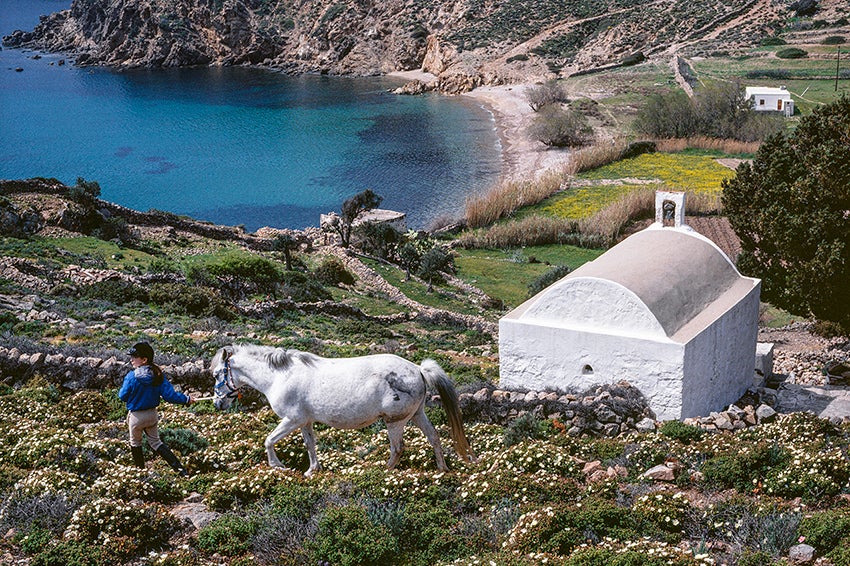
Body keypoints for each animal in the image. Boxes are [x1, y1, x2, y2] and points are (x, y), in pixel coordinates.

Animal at [210, 344, 476, 478]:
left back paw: (384, 471)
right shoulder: (305, 421)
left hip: (395, 422)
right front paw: (312, 470)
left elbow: (268, 440)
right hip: (417, 415)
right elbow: (310, 445)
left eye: (215, 374)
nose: (217, 403)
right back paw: (442, 469)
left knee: (398, 448)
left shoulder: (291, 419)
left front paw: (278, 466)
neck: (280, 376)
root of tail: (419, 370)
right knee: (434, 437)